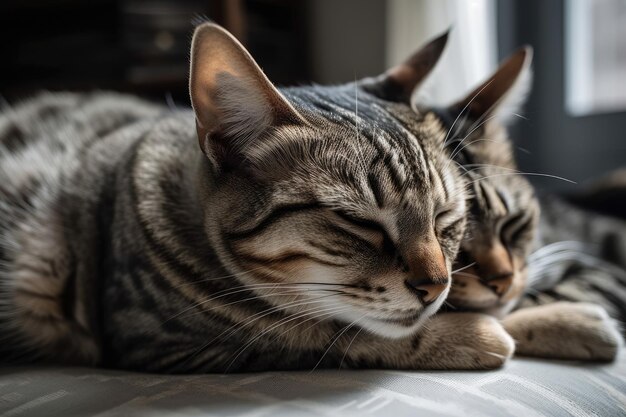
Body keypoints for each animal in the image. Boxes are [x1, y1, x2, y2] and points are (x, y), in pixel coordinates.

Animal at [0, 22, 520, 370]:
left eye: (446, 217)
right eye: (358, 222)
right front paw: (474, 333)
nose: (438, 286)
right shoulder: (161, 339)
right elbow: (323, 335)